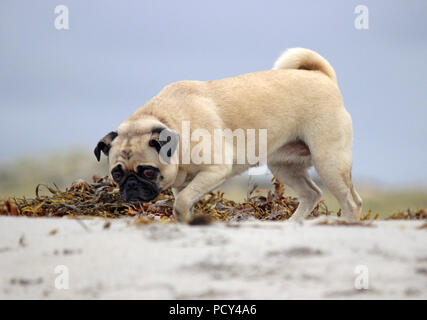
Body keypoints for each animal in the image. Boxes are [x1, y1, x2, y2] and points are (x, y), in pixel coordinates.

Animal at [93, 47, 362, 222]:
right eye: (116, 174)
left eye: (148, 172)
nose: (131, 186)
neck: (170, 121)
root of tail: (322, 77)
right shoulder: (183, 184)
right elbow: (185, 203)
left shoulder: (214, 171)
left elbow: (181, 203)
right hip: (284, 167)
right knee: (311, 194)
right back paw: (293, 225)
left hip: (329, 162)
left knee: (351, 202)